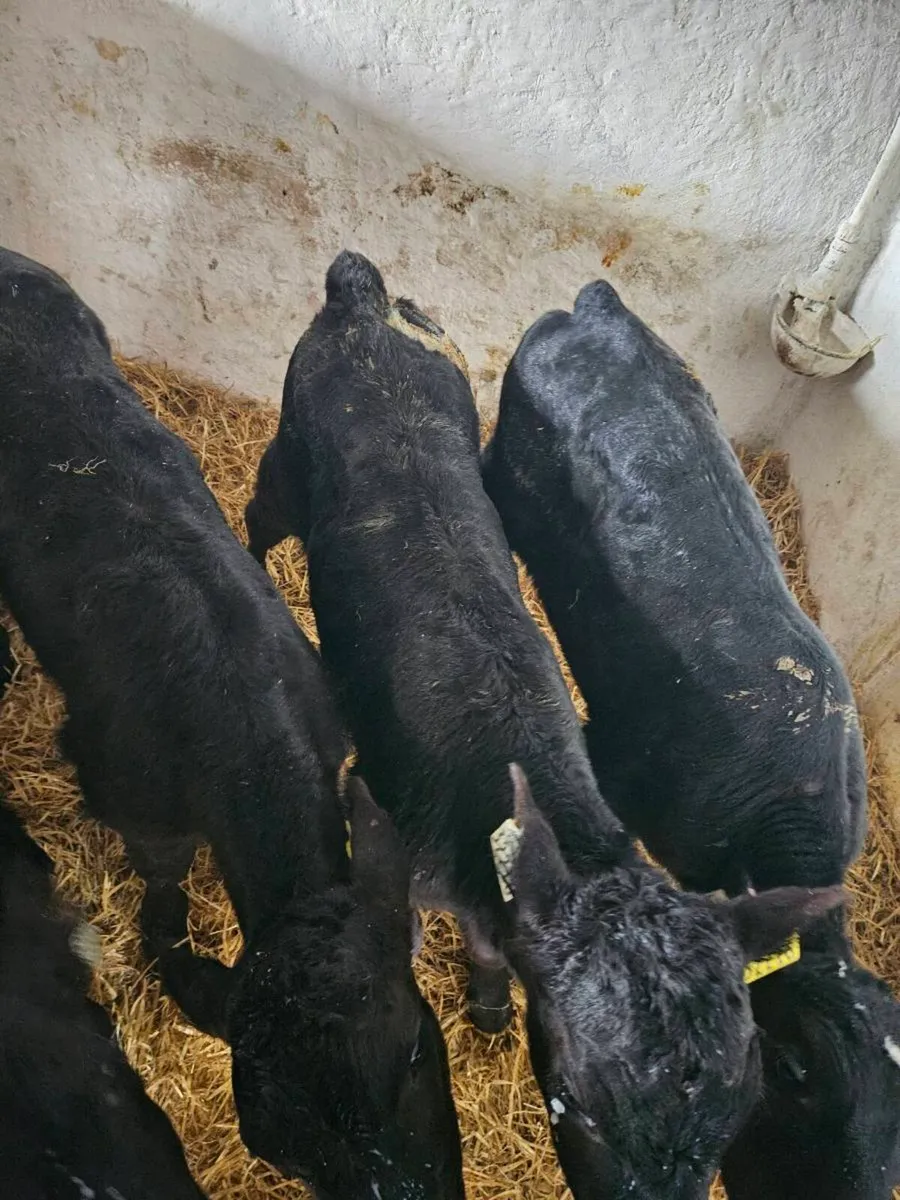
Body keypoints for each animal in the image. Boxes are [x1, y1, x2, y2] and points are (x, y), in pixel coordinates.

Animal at [246, 249, 842, 1199]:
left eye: (737, 1112)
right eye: (578, 1099)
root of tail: (365, 299)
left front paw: (490, 1009)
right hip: (285, 455)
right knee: (256, 523)